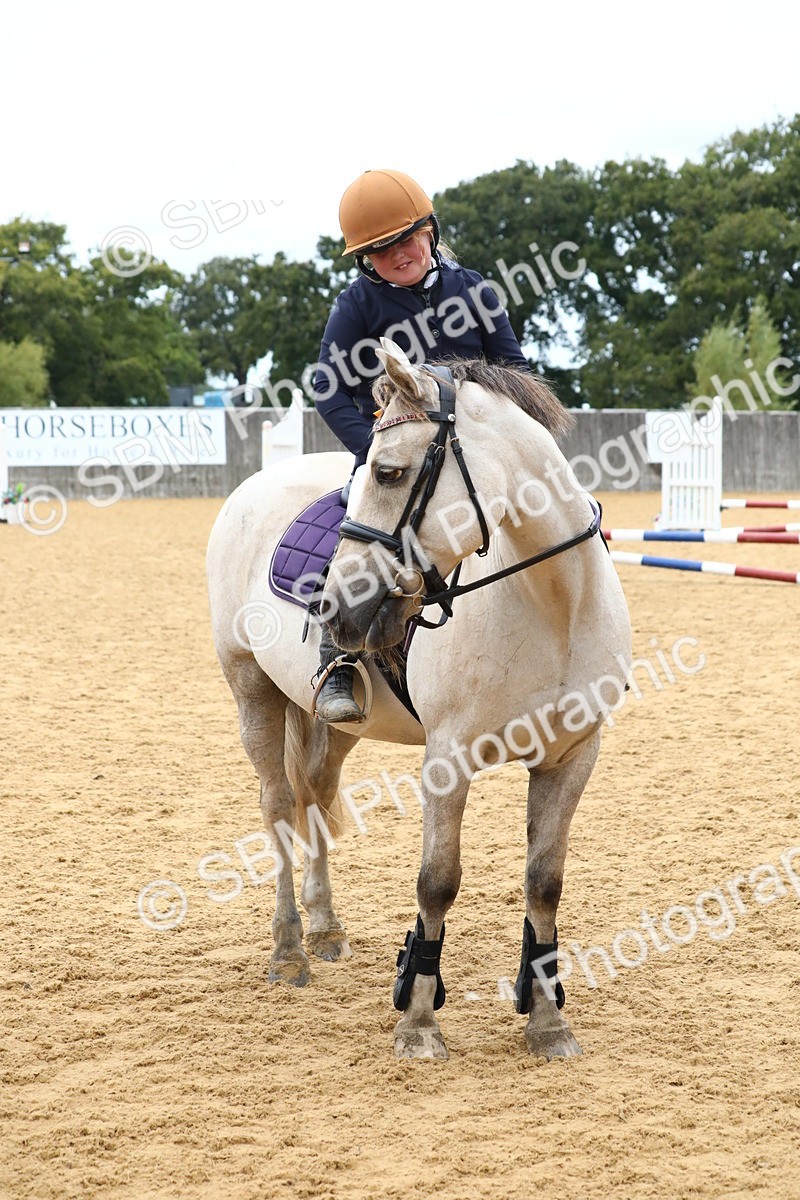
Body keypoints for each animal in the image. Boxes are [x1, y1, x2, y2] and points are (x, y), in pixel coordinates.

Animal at [206, 338, 632, 1061]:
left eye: (390, 472)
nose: (333, 605)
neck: (553, 605)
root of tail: (252, 487)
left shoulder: (573, 756)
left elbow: (544, 881)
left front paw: (548, 1021)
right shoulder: (448, 759)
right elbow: (438, 879)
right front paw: (420, 1021)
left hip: (337, 725)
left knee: (315, 797)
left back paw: (325, 929)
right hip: (252, 693)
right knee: (279, 810)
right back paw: (289, 951)